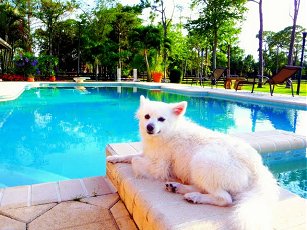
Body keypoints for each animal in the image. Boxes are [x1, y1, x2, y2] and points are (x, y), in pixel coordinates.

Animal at [107, 95, 280, 228]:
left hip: (202, 160)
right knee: (202, 187)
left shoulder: (158, 167)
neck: (168, 132)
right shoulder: (147, 153)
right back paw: (178, 188)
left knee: (225, 199)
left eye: (161, 119)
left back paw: (194, 196)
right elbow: (131, 155)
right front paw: (115, 158)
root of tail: (257, 169)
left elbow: (136, 160)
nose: (149, 127)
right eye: (147, 116)